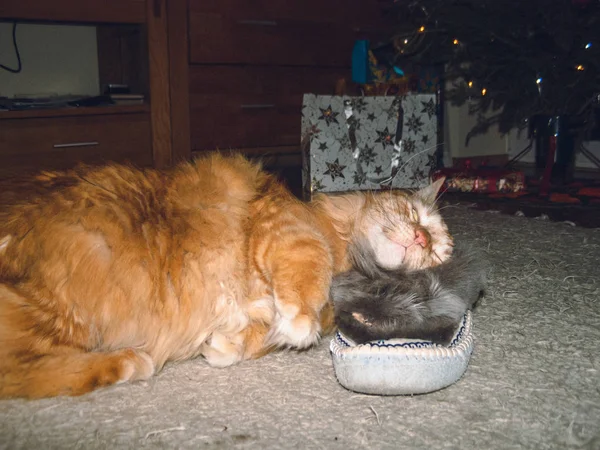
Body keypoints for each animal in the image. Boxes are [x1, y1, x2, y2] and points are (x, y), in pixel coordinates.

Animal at [0, 153, 450, 400]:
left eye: (437, 252)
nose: (422, 237)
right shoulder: (287, 227)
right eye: (415, 215)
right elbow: (307, 269)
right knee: (18, 374)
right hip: (63, 308)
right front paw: (298, 321)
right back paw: (129, 361)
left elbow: (251, 340)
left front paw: (223, 345)